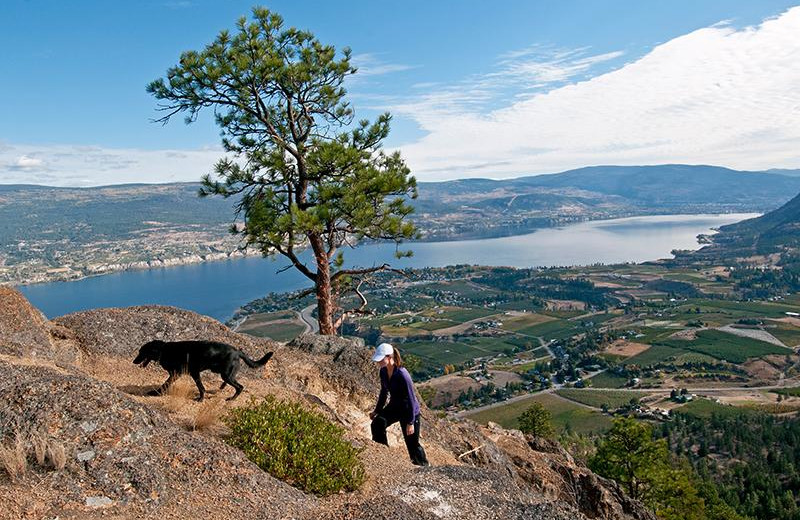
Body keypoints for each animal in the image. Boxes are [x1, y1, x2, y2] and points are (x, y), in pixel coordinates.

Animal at [133, 340, 274, 400]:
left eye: (141, 352)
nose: (134, 361)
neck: (164, 350)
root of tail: (237, 351)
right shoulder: (182, 374)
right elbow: (167, 383)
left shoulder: (191, 373)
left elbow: (200, 387)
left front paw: (200, 399)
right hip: (225, 373)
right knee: (234, 383)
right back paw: (222, 388)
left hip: (226, 374)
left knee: (240, 387)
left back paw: (231, 399)